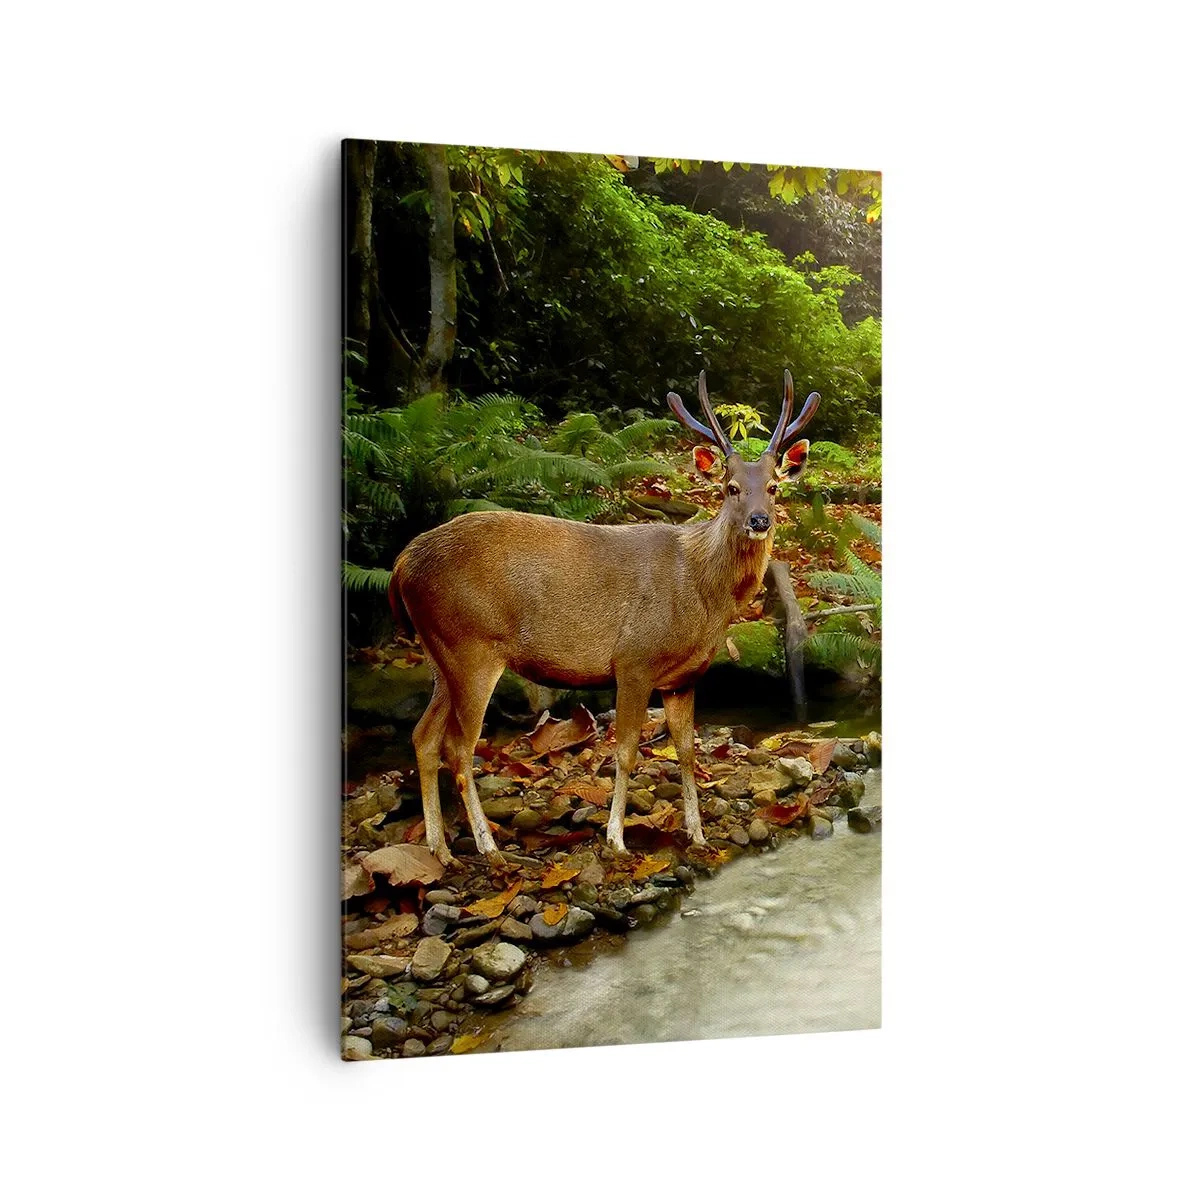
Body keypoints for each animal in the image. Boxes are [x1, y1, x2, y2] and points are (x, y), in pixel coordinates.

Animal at [389, 370, 820, 866]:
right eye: (730, 488)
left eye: (773, 486)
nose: (758, 520)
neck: (702, 597)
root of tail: (401, 564)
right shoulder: (634, 659)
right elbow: (627, 751)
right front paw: (615, 837)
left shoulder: (684, 677)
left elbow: (687, 751)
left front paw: (697, 835)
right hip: (471, 646)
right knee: (459, 748)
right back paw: (489, 847)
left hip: (440, 653)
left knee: (423, 737)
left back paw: (441, 849)